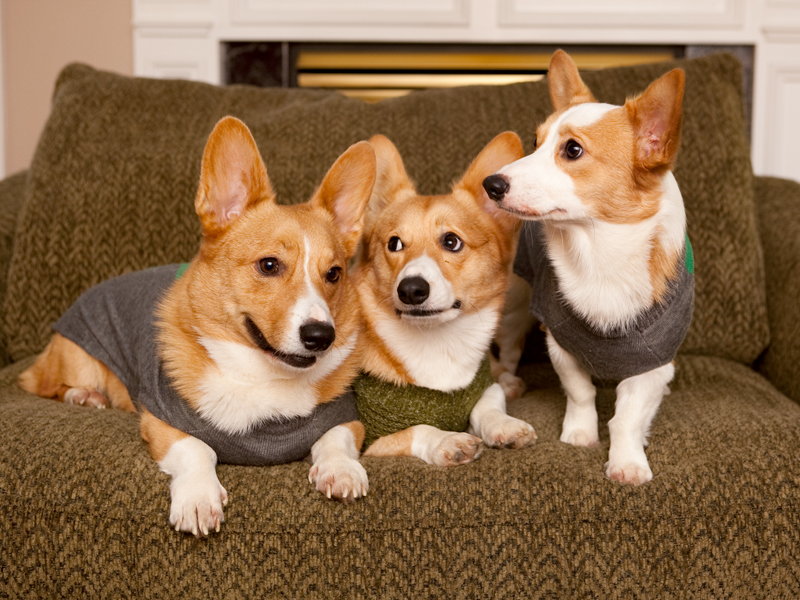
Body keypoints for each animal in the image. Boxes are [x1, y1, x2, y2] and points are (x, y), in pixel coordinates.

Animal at [18, 116, 376, 536]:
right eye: (269, 265)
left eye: (334, 274)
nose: (321, 336)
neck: (261, 377)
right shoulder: (162, 421)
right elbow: (197, 448)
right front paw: (198, 499)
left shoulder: (346, 420)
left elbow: (335, 440)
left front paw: (342, 471)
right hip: (78, 358)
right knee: (44, 383)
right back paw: (84, 396)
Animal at [352, 134, 536, 466]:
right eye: (394, 244)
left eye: (452, 241)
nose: (410, 290)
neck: (438, 342)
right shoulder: (371, 440)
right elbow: (417, 429)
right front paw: (448, 440)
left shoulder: (481, 389)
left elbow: (487, 404)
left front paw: (504, 425)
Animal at [482, 49, 692, 486]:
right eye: (534, 143)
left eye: (573, 150)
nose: (490, 185)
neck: (599, 253)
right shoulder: (560, 343)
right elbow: (581, 392)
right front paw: (579, 434)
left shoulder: (653, 362)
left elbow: (628, 416)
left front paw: (627, 462)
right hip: (514, 310)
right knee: (506, 350)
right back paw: (507, 381)